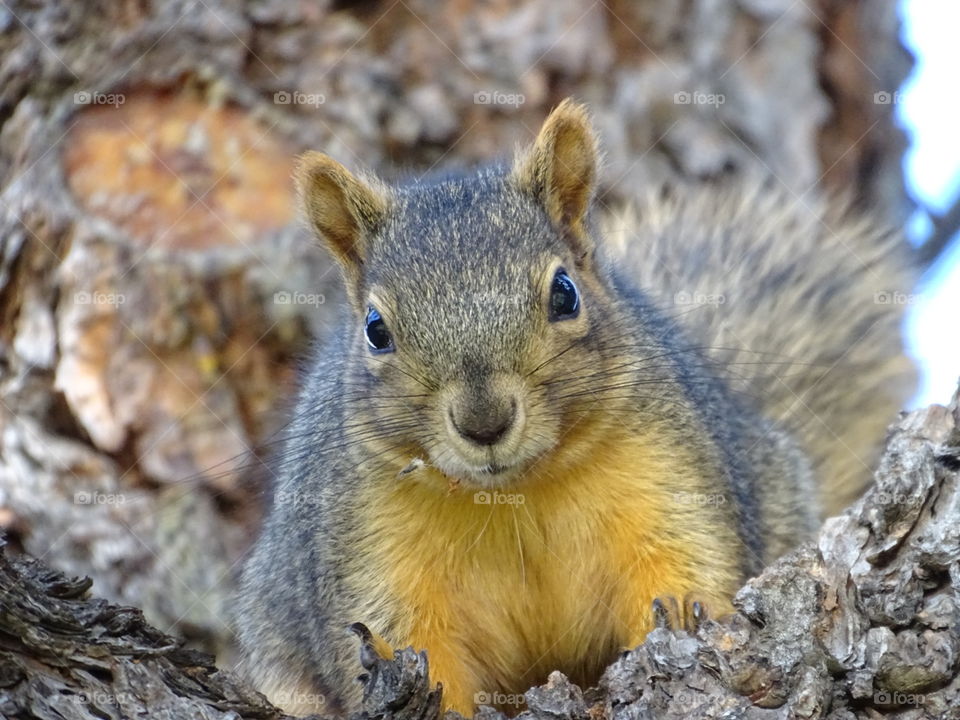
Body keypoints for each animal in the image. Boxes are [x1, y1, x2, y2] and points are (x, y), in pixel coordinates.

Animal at [234, 99, 916, 716]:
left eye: (565, 293)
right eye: (376, 329)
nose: (484, 422)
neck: (516, 495)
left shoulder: (671, 475)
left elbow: (685, 567)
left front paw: (679, 618)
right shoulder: (366, 547)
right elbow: (403, 641)